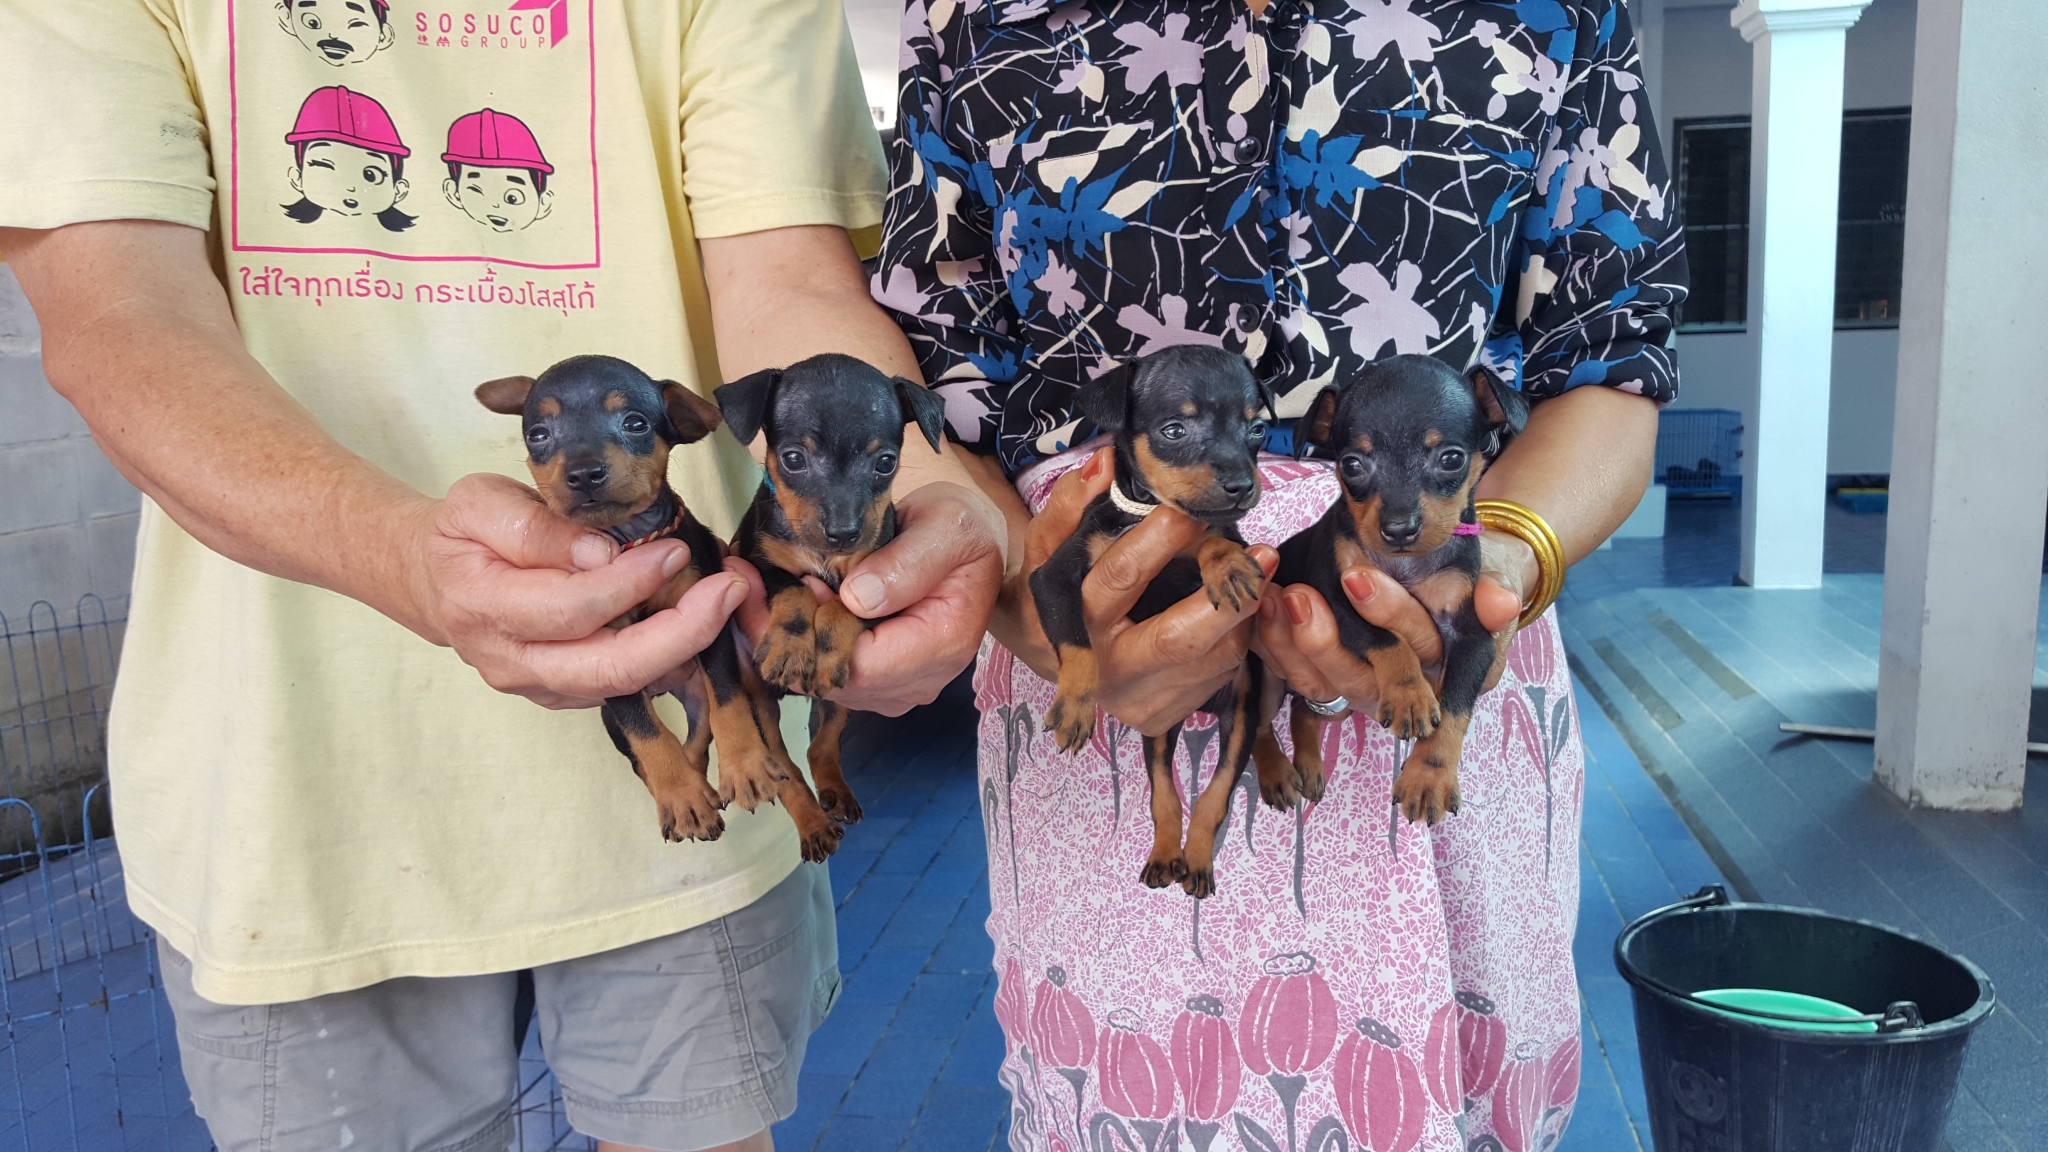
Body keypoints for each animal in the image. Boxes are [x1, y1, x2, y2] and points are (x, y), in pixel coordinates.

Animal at [475, 355, 823, 848]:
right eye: (538, 434)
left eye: (635, 423)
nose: (583, 472)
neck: (630, 539)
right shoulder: (605, 660)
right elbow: (644, 730)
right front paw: (679, 794)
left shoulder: (711, 620)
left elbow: (727, 698)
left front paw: (745, 766)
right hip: (608, 717)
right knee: (646, 750)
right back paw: (686, 794)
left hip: (702, 690)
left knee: (704, 723)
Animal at [714, 353, 949, 846]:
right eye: (793, 459)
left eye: (886, 463)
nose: (843, 533)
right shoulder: (761, 562)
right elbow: (797, 590)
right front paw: (790, 649)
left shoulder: (877, 580)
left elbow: (847, 603)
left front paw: (822, 646)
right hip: (759, 707)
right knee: (785, 770)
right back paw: (814, 825)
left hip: (843, 701)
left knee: (820, 746)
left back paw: (836, 794)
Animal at [1028, 345, 1273, 898]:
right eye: (1174, 431)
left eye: (1257, 430)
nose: (1242, 486)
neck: (1144, 515)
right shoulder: (1051, 578)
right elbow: (1076, 641)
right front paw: (1076, 705)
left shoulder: (1216, 535)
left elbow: (1210, 534)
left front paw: (1224, 564)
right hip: (1159, 731)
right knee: (1165, 796)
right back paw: (1165, 855)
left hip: (1242, 701)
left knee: (1221, 785)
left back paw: (1200, 855)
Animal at [1261, 353, 1529, 825]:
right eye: (1351, 464)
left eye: (1451, 458)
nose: (1399, 529)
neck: (1404, 565)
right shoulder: (1339, 600)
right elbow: (1386, 638)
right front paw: (1411, 696)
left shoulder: (1474, 641)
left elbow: (1456, 707)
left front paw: (1429, 776)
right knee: (1254, 727)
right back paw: (1276, 772)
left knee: (1301, 710)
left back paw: (1308, 764)